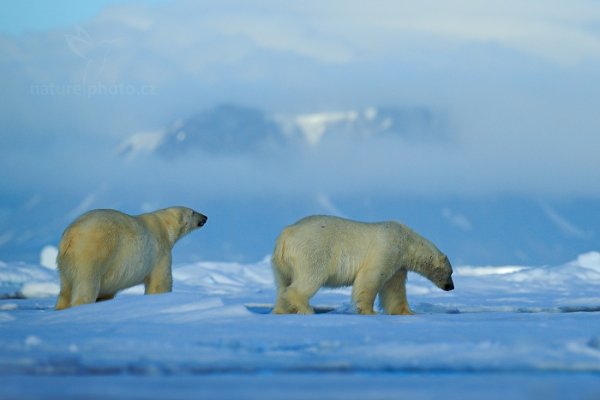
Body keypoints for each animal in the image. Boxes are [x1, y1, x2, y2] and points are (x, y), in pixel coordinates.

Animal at [55, 206, 207, 310]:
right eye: (193, 212)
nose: (205, 217)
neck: (164, 225)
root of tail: (70, 235)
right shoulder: (160, 252)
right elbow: (160, 282)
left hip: (65, 264)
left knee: (65, 290)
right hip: (92, 252)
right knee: (86, 284)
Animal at [270, 216, 452, 316]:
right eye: (450, 273)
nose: (451, 287)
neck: (408, 242)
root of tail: (285, 236)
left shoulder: (398, 265)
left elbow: (394, 289)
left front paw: (407, 312)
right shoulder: (388, 249)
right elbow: (371, 278)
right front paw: (368, 311)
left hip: (281, 264)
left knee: (282, 284)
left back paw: (281, 310)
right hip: (312, 252)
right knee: (309, 278)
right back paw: (306, 309)